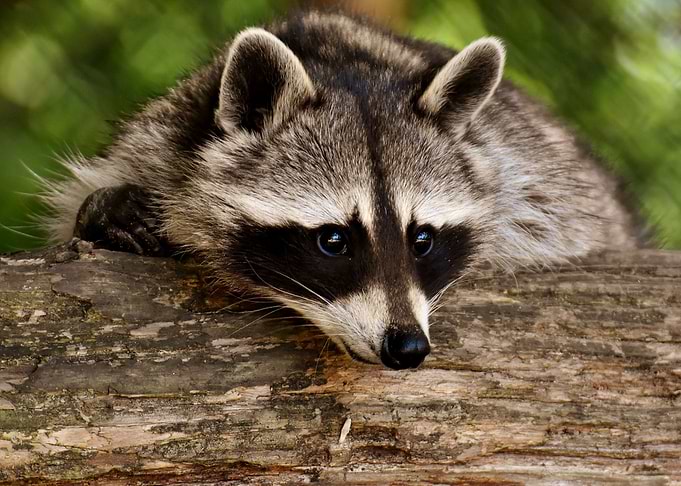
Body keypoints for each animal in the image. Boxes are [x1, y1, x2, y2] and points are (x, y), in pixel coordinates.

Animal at [42, 11, 640, 370]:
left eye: (422, 239)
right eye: (334, 240)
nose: (408, 348)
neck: (341, 61)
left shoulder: (531, 176)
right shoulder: (157, 140)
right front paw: (108, 212)